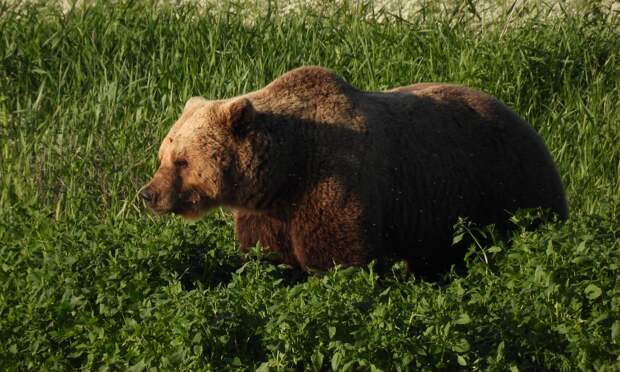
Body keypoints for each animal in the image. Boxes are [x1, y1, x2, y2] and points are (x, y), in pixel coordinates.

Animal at [143, 66, 568, 274]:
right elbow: (268, 260)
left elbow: (340, 260)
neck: (287, 170)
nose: (148, 194)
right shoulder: (268, 213)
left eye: (182, 160)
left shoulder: (333, 184)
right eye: (163, 155)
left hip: (508, 185)